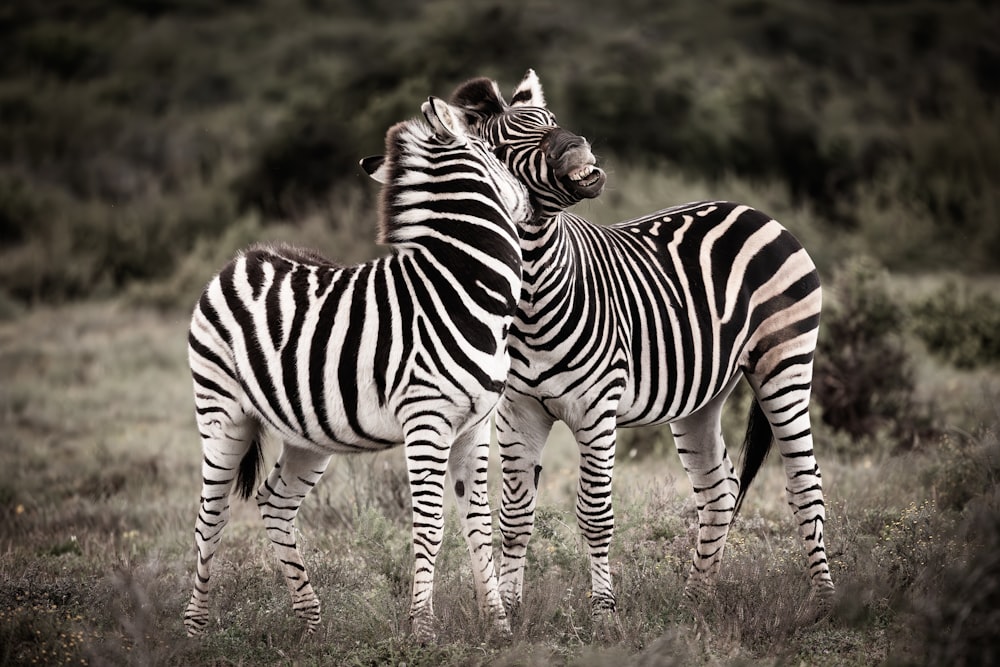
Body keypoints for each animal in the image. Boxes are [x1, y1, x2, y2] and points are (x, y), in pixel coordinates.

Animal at [187, 95, 532, 640]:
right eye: (497, 154)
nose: (531, 204)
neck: (464, 290)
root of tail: (245, 256)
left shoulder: (475, 425)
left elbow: (479, 524)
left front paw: (498, 627)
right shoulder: (426, 422)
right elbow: (430, 526)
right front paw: (422, 630)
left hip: (307, 434)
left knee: (273, 501)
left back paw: (312, 622)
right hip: (221, 414)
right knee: (210, 517)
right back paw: (195, 628)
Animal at [448, 72, 836, 616]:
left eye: (550, 120)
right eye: (504, 148)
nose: (575, 145)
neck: (531, 295)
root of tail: (753, 211)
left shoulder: (596, 410)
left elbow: (594, 515)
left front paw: (604, 614)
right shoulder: (517, 412)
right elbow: (515, 516)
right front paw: (512, 611)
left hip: (785, 364)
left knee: (805, 482)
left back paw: (825, 601)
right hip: (703, 393)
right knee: (719, 489)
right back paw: (695, 600)